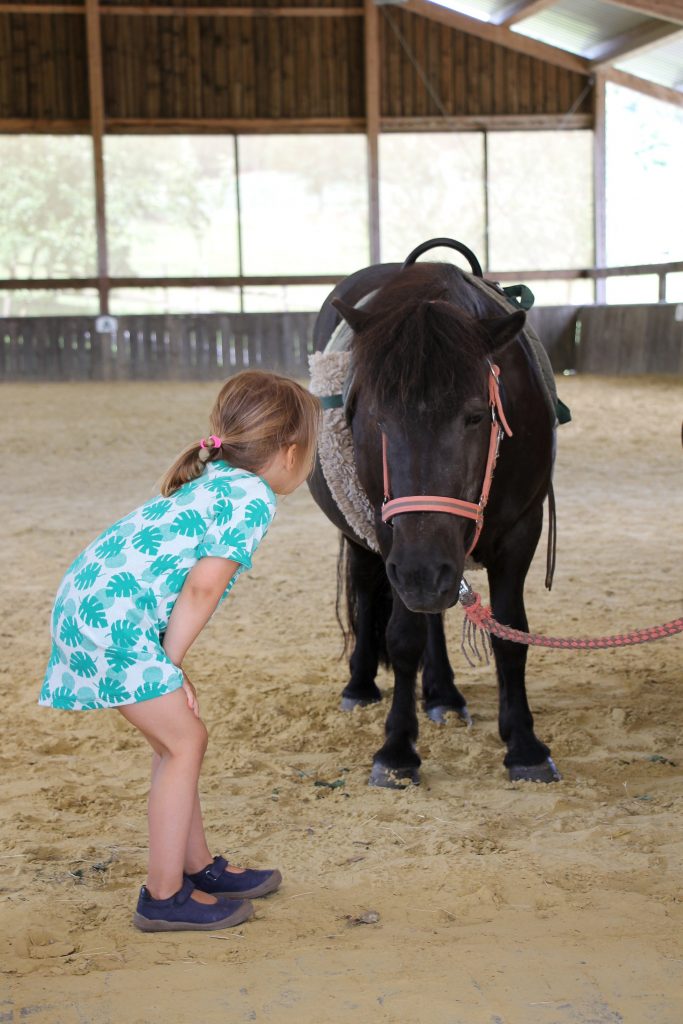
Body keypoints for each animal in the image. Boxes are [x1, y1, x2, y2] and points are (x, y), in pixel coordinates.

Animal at [309, 260, 561, 786]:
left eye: (475, 416)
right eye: (377, 418)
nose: (422, 572)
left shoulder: (519, 533)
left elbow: (511, 634)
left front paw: (523, 744)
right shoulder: (394, 540)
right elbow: (403, 639)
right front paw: (397, 749)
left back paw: (443, 693)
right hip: (373, 543)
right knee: (367, 590)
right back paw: (361, 684)